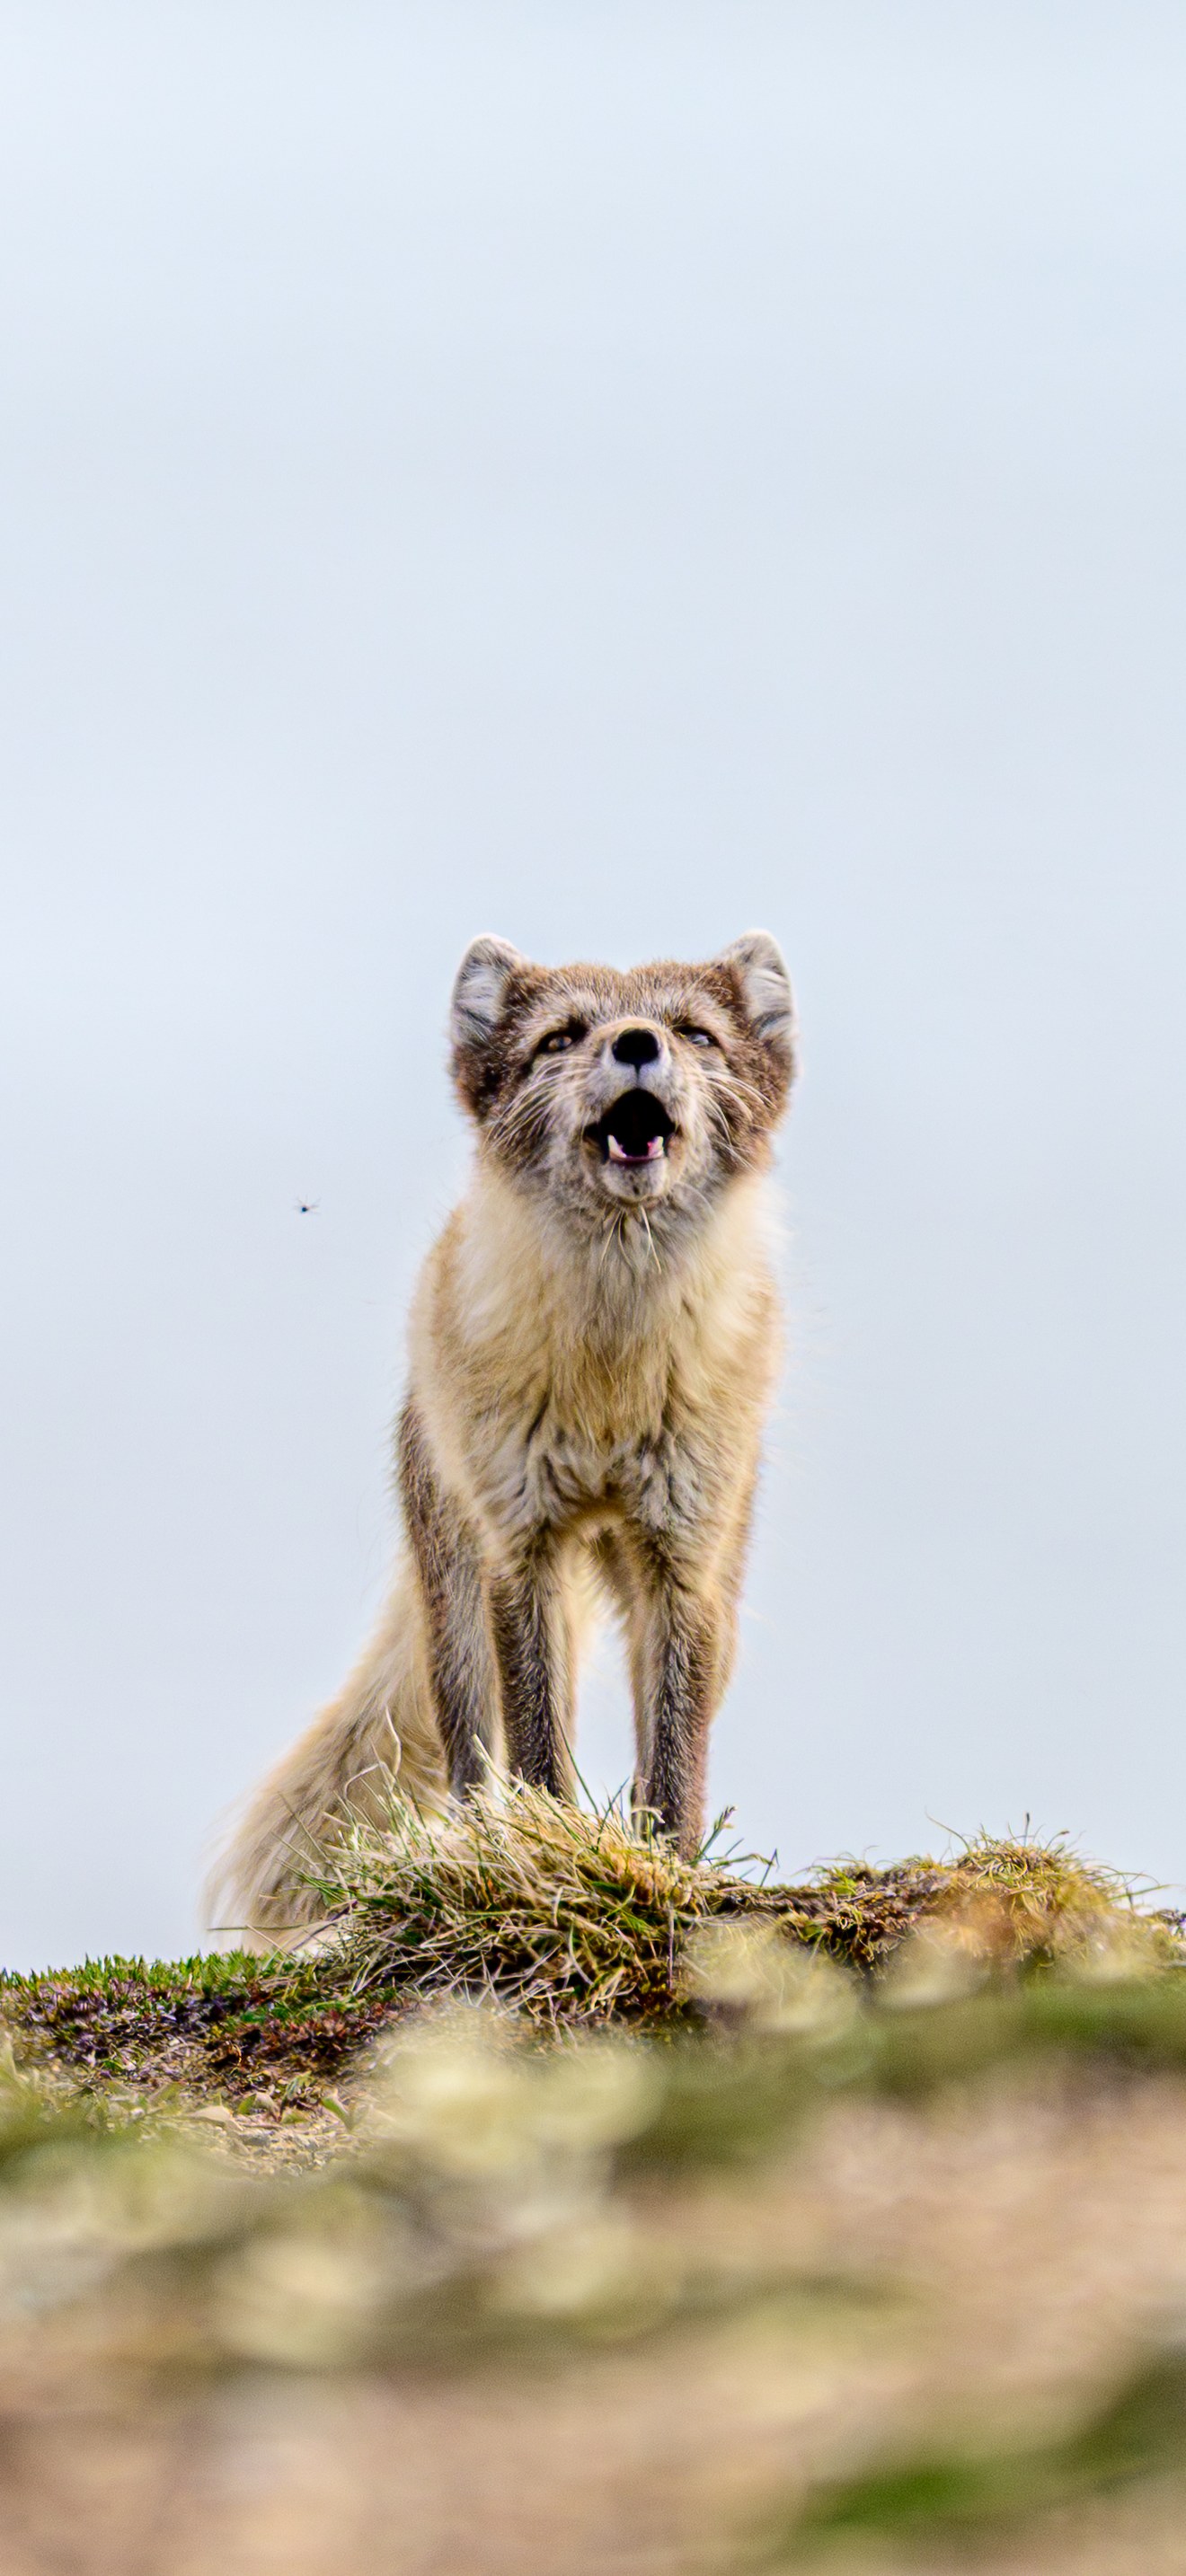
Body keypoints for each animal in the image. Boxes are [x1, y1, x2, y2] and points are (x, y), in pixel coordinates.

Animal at [213, 930, 795, 1935]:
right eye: (561, 1038)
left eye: (695, 1033)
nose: (637, 1042)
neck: (610, 1380)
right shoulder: (522, 1548)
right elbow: (535, 1746)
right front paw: (550, 1848)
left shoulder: (681, 1562)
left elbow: (673, 1761)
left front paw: (666, 1874)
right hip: (459, 1588)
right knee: (474, 1750)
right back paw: (483, 1839)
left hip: (706, 1584)